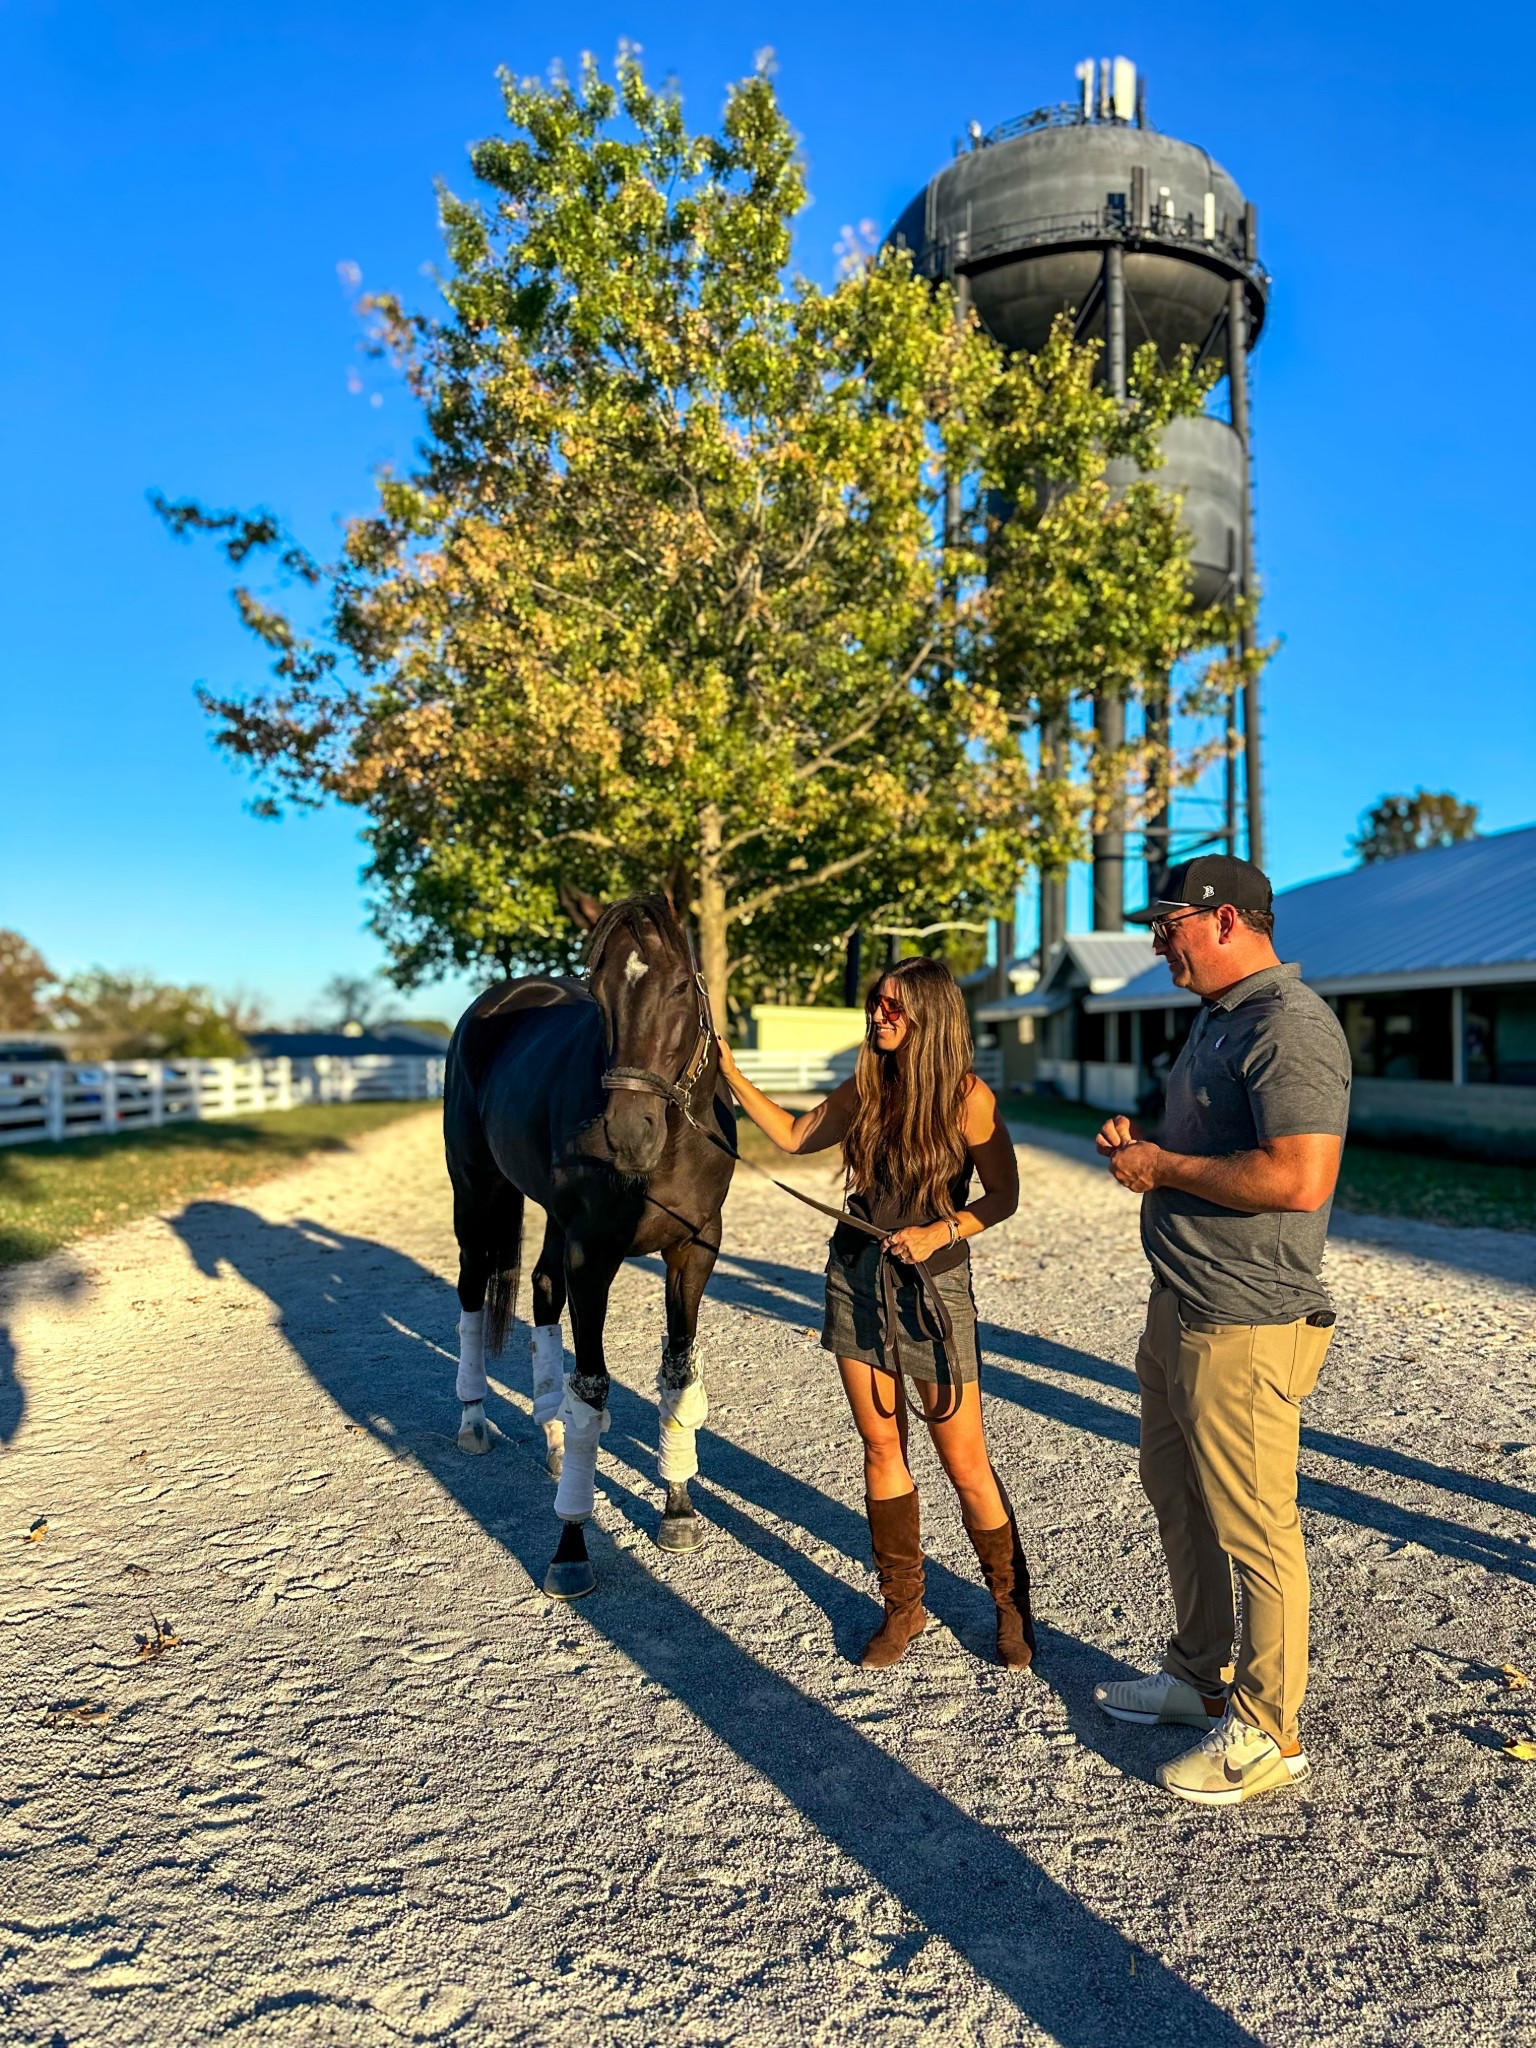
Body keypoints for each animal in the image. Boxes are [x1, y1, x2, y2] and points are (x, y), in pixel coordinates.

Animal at [442, 894, 736, 1599]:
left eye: (681, 986)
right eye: (599, 997)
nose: (627, 1134)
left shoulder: (695, 1251)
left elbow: (677, 1374)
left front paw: (678, 1508)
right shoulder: (592, 1257)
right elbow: (594, 1391)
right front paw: (572, 1544)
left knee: (543, 1293)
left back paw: (550, 1440)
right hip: (475, 1191)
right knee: (472, 1290)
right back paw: (473, 1419)